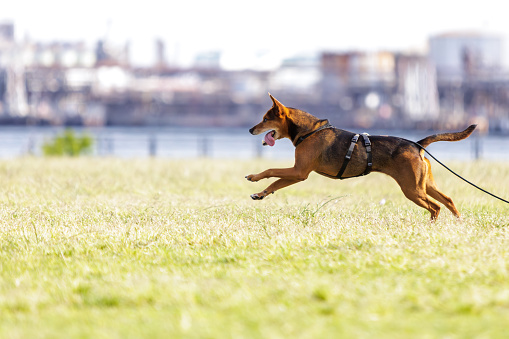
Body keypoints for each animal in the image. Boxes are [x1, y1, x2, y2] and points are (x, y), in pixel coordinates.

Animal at [246, 93, 476, 220]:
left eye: (265, 119)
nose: (249, 129)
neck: (308, 131)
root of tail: (417, 144)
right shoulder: (297, 173)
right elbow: (276, 183)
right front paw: (260, 194)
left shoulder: (299, 171)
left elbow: (271, 171)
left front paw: (254, 177)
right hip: (424, 183)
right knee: (447, 200)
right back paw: (459, 222)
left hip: (412, 188)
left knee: (435, 206)